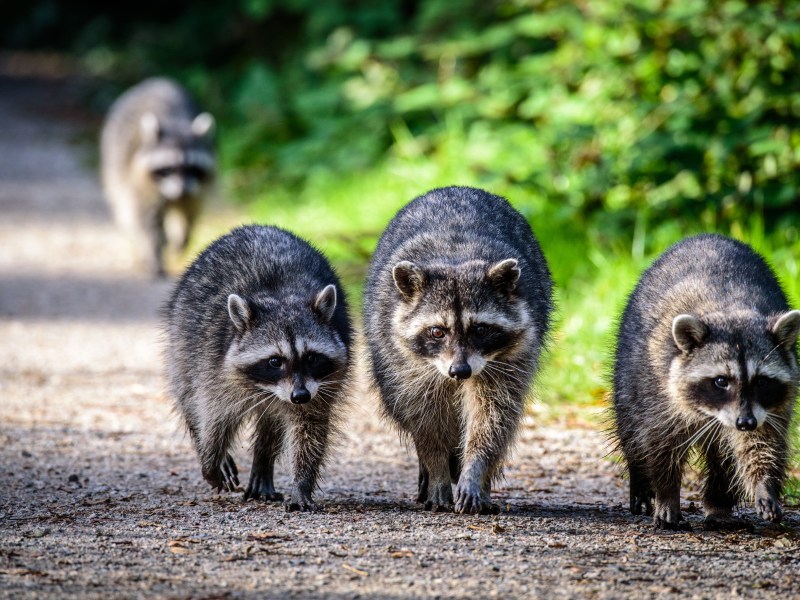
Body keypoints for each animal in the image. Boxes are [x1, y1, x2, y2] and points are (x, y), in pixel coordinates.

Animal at [100, 75, 216, 278]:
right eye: (168, 168)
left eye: (192, 168)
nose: (182, 190)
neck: (177, 122)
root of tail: (158, 80)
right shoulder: (141, 182)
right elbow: (147, 221)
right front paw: (153, 252)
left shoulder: (197, 188)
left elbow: (189, 212)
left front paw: (182, 236)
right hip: (114, 159)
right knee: (126, 208)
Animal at [164, 225, 352, 510]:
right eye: (275, 361)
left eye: (311, 358)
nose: (300, 396)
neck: (281, 297)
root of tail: (259, 227)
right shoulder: (212, 364)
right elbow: (213, 416)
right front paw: (211, 460)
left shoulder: (321, 385)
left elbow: (309, 428)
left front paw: (301, 483)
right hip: (182, 340)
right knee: (188, 395)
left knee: (271, 424)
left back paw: (263, 463)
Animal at [364, 186, 556, 516]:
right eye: (437, 331)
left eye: (479, 329)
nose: (460, 371)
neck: (455, 259)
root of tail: (454, 188)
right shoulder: (405, 365)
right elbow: (424, 420)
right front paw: (438, 470)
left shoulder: (510, 358)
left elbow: (493, 416)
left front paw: (475, 471)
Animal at [612, 234, 800, 528]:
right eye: (721, 380)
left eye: (761, 381)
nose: (745, 423)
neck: (729, 308)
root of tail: (705, 236)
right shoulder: (658, 388)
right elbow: (660, 441)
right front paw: (667, 493)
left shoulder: (769, 408)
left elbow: (761, 442)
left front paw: (764, 484)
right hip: (630, 371)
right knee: (631, 426)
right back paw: (640, 479)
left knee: (724, 459)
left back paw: (718, 505)